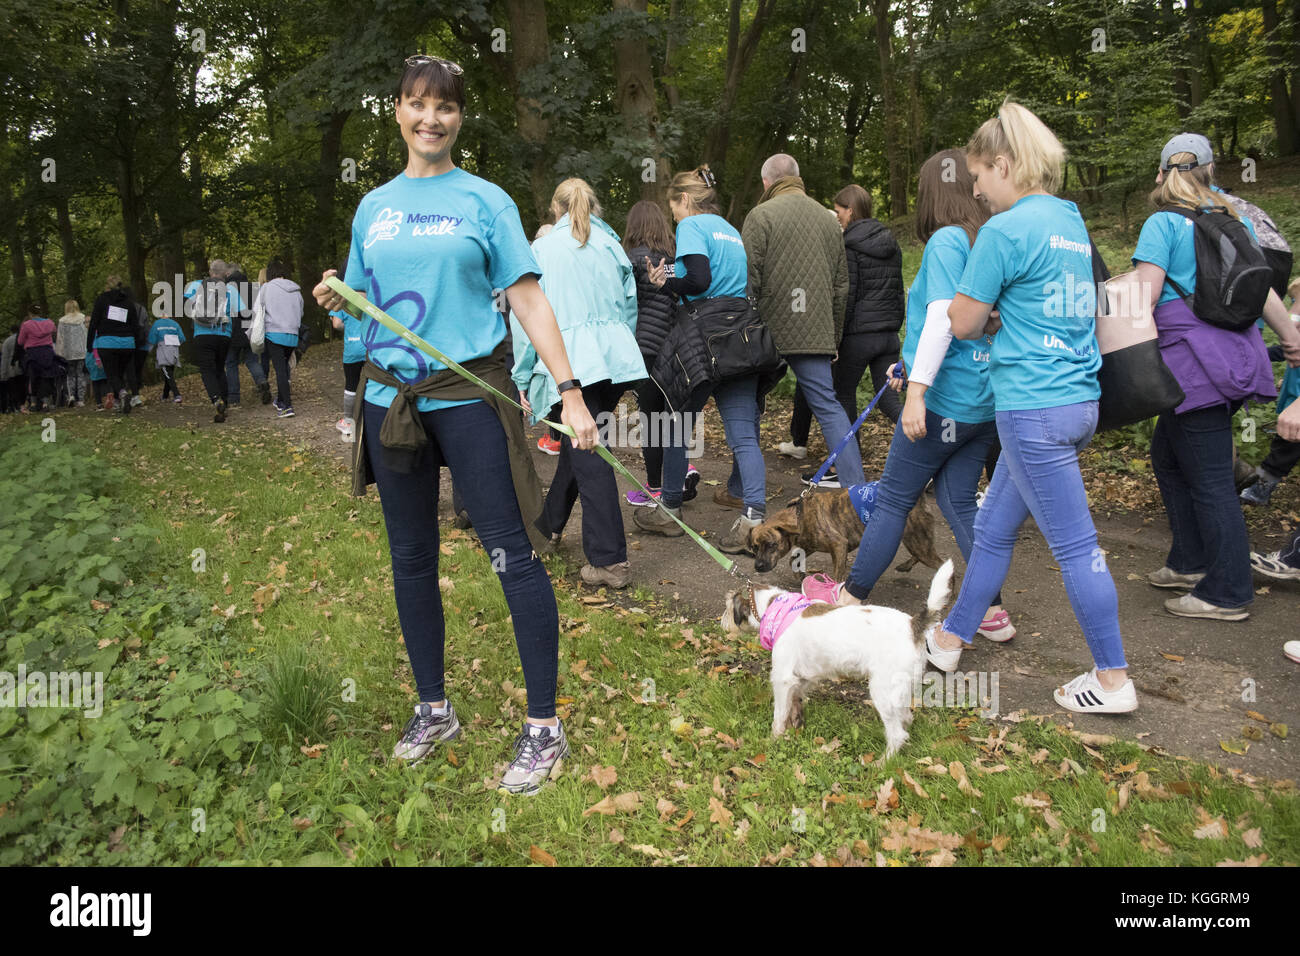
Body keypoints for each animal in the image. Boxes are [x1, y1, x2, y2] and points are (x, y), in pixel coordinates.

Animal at [722, 561, 956, 754]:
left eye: (727, 609)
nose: (722, 623)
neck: (775, 607)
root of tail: (914, 625)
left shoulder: (782, 678)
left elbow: (779, 714)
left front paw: (774, 739)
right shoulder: (803, 677)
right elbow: (796, 700)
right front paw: (796, 724)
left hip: (883, 691)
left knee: (898, 734)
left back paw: (882, 764)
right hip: (901, 690)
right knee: (905, 718)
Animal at [748, 489, 941, 580]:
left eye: (772, 545)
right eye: (755, 548)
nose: (758, 566)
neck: (799, 515)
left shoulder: (839, 545)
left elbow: (838, 573)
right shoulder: (810, 545)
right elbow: (793, 559)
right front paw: (799, 575)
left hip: (917, 541)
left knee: (940, 562)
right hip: (915, 540)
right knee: (920, 555)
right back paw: (906, 565)